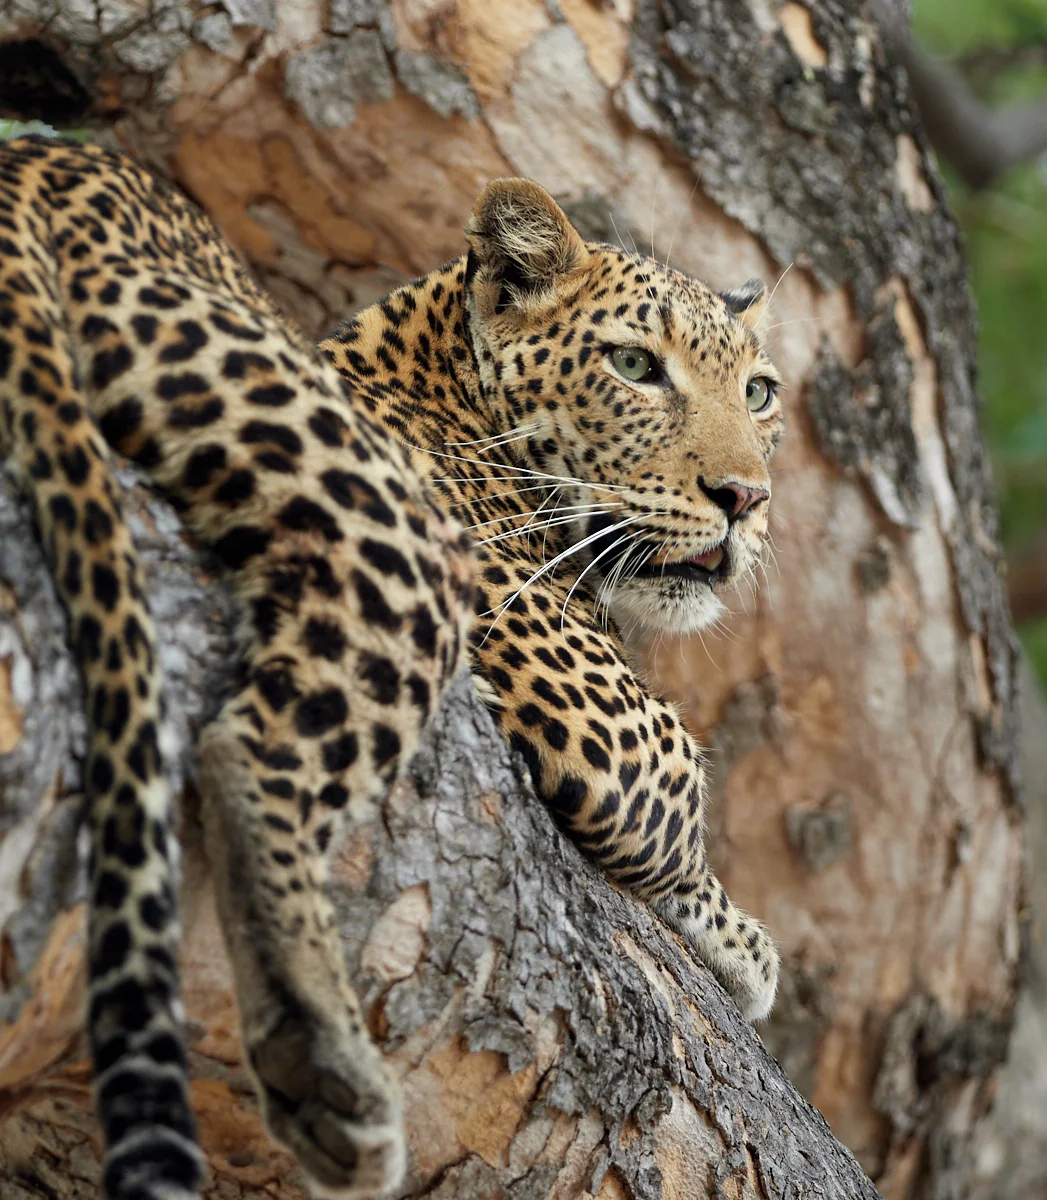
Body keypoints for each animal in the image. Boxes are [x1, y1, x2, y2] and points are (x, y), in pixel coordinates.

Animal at [0, 135, 782, 1200]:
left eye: (759, 393)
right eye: (633, 365)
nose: (744, 498)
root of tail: (39, 168)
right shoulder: (610, 730)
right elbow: (681, 806)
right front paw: (746, 945)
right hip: (391, 530)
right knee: (249, 750)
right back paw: (321, 1055)